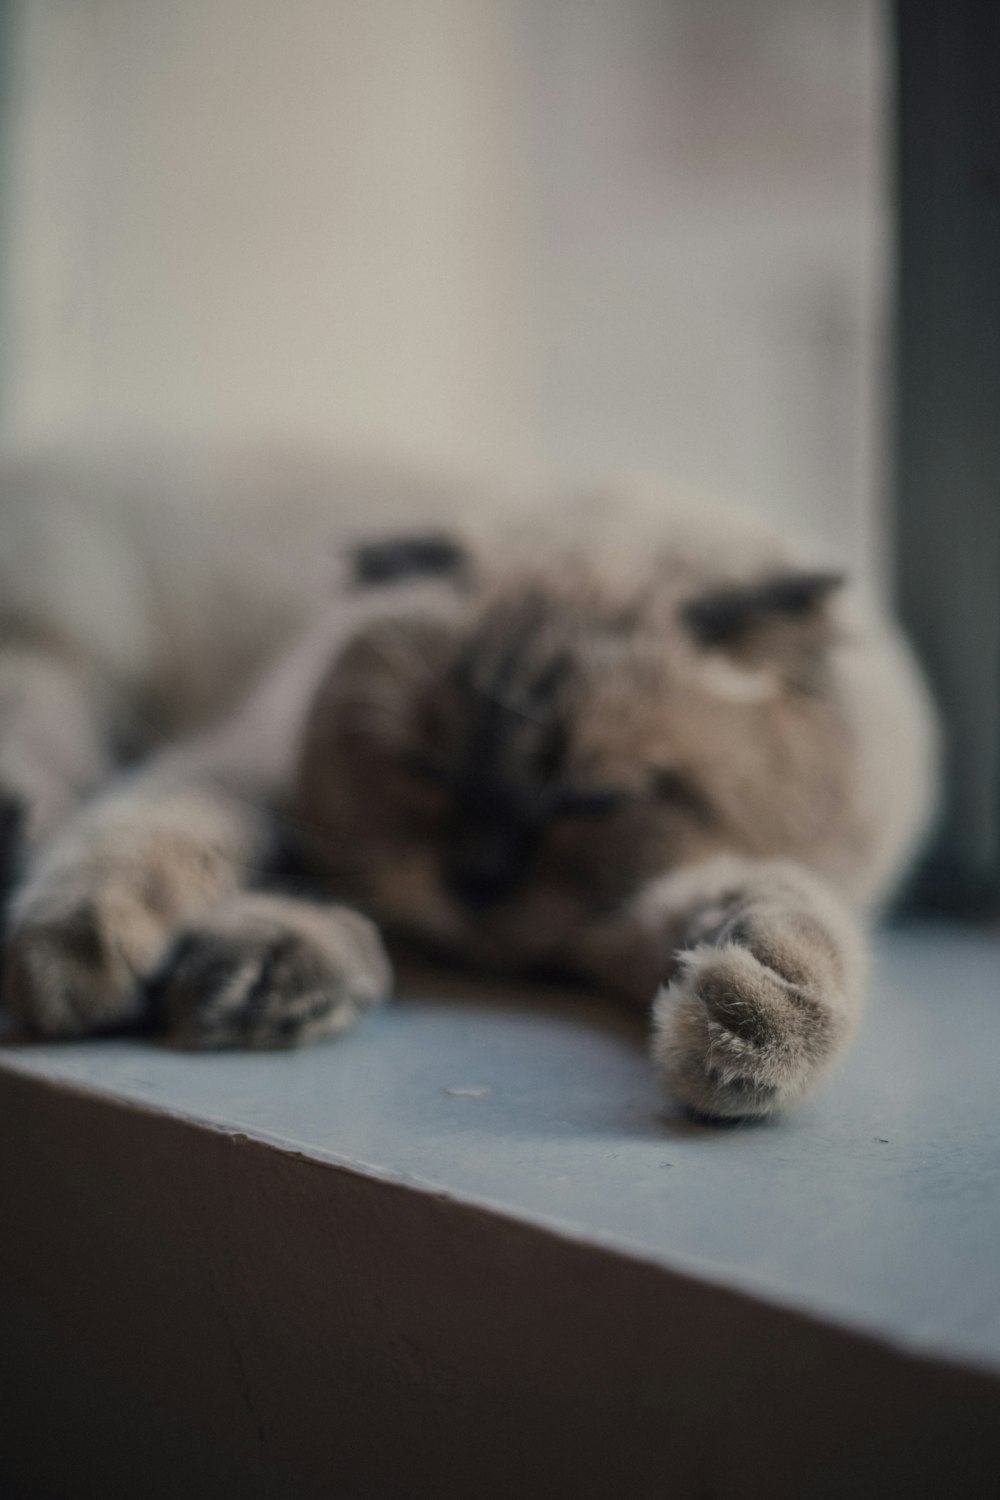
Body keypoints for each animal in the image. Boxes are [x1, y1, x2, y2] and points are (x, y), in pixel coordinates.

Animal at [0, 447, 941, 1128]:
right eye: (430, 768)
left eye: (589, 800)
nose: (476, 882)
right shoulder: (241, 764)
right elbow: (150, 836)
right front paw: (84, 961)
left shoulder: (615, 918)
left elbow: (779, 915)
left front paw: (754, 1019)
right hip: (57, 681)